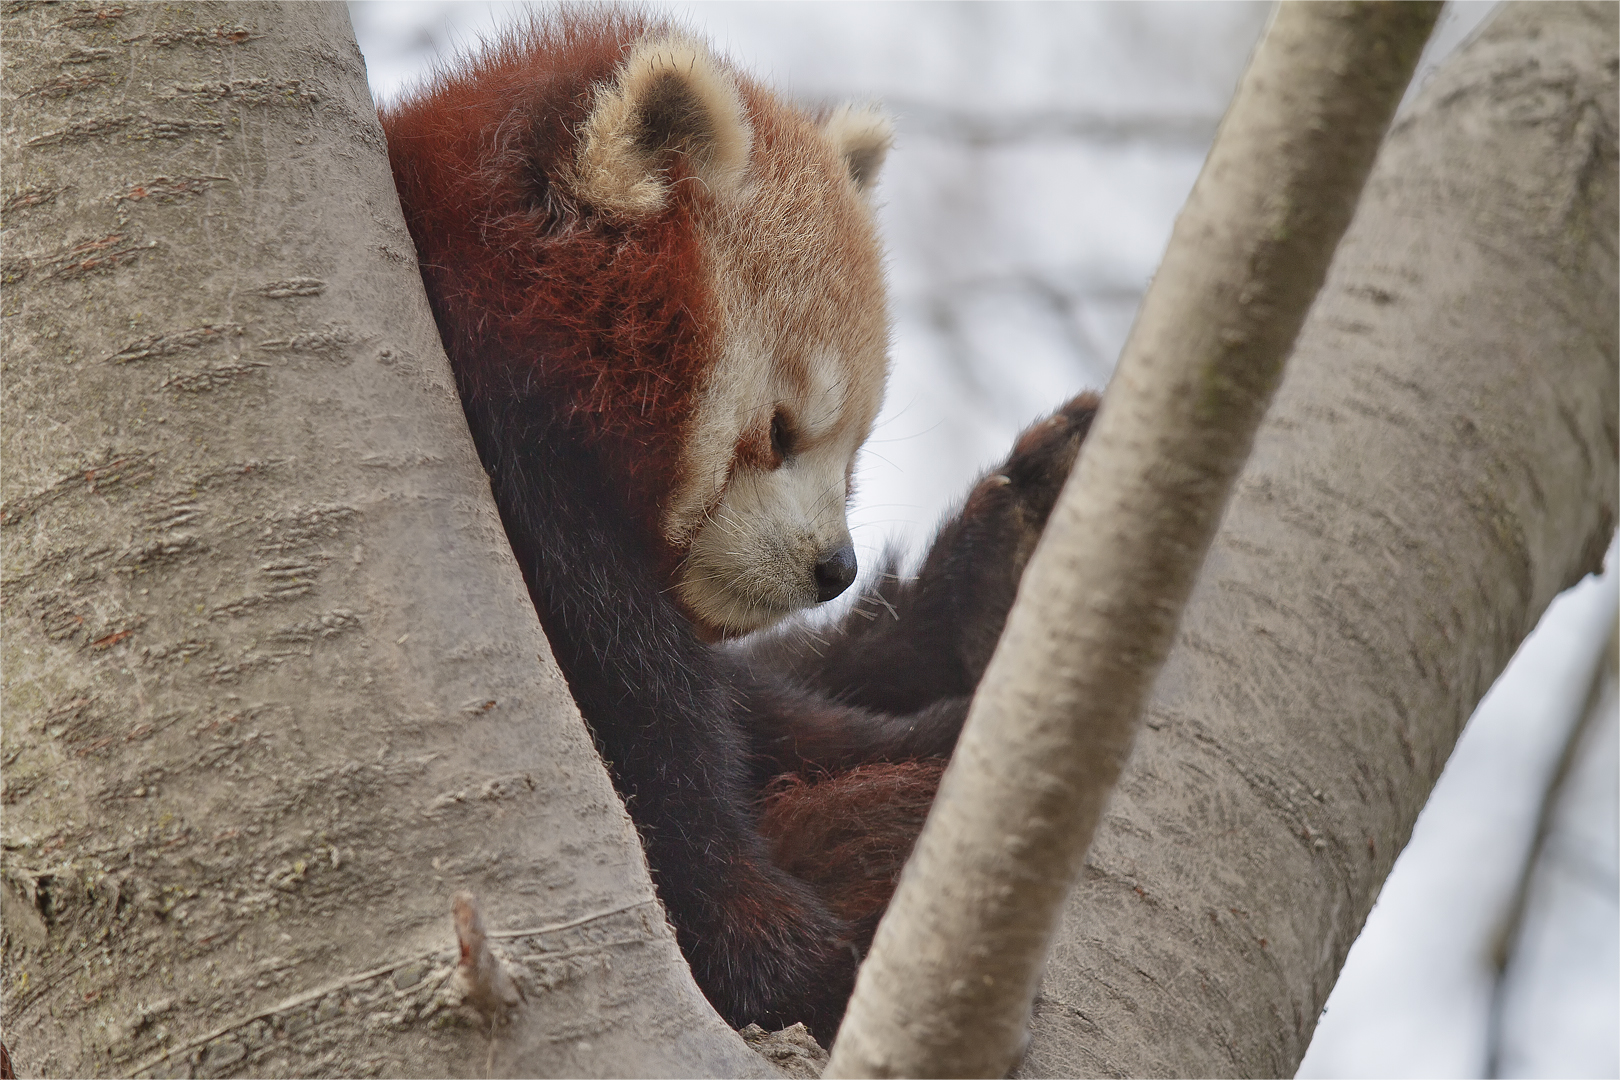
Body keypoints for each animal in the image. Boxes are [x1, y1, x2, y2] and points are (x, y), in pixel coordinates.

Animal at [379, 8, 1101, 1036]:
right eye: (781, 430)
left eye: (855, 457)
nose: (834, 568)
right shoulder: (534, 511)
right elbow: (659, 768)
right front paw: (808, 965)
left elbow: (777, 712)